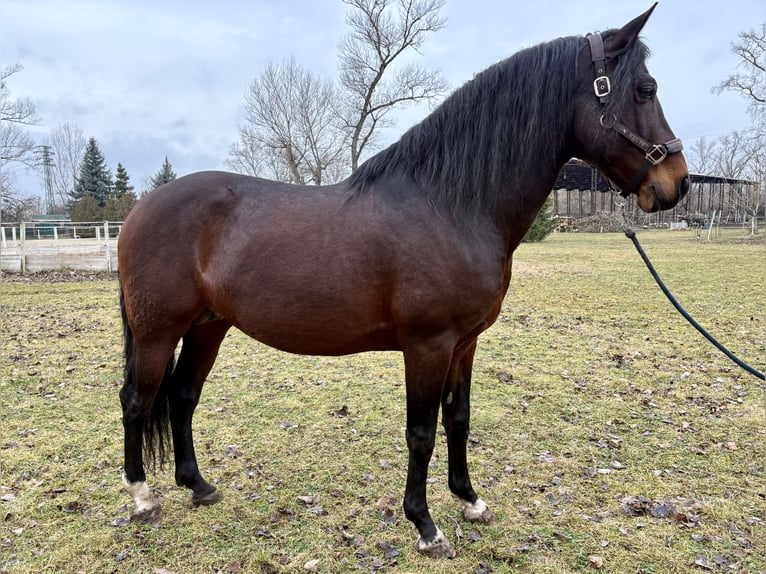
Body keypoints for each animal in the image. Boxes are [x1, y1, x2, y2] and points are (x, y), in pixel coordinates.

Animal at [118, 4, 689, 558]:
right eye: (645, 89)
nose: (677, 184)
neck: (451, 205)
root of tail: (141, 208)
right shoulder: (427, 344)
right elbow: (421, 433)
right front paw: (425, 527)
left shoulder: (464, 343)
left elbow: (458, 419)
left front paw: (470, 501)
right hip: (157, 330)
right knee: (137, 401)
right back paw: (143, 498)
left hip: (208, 325)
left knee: (183, 396)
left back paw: (198, 486)